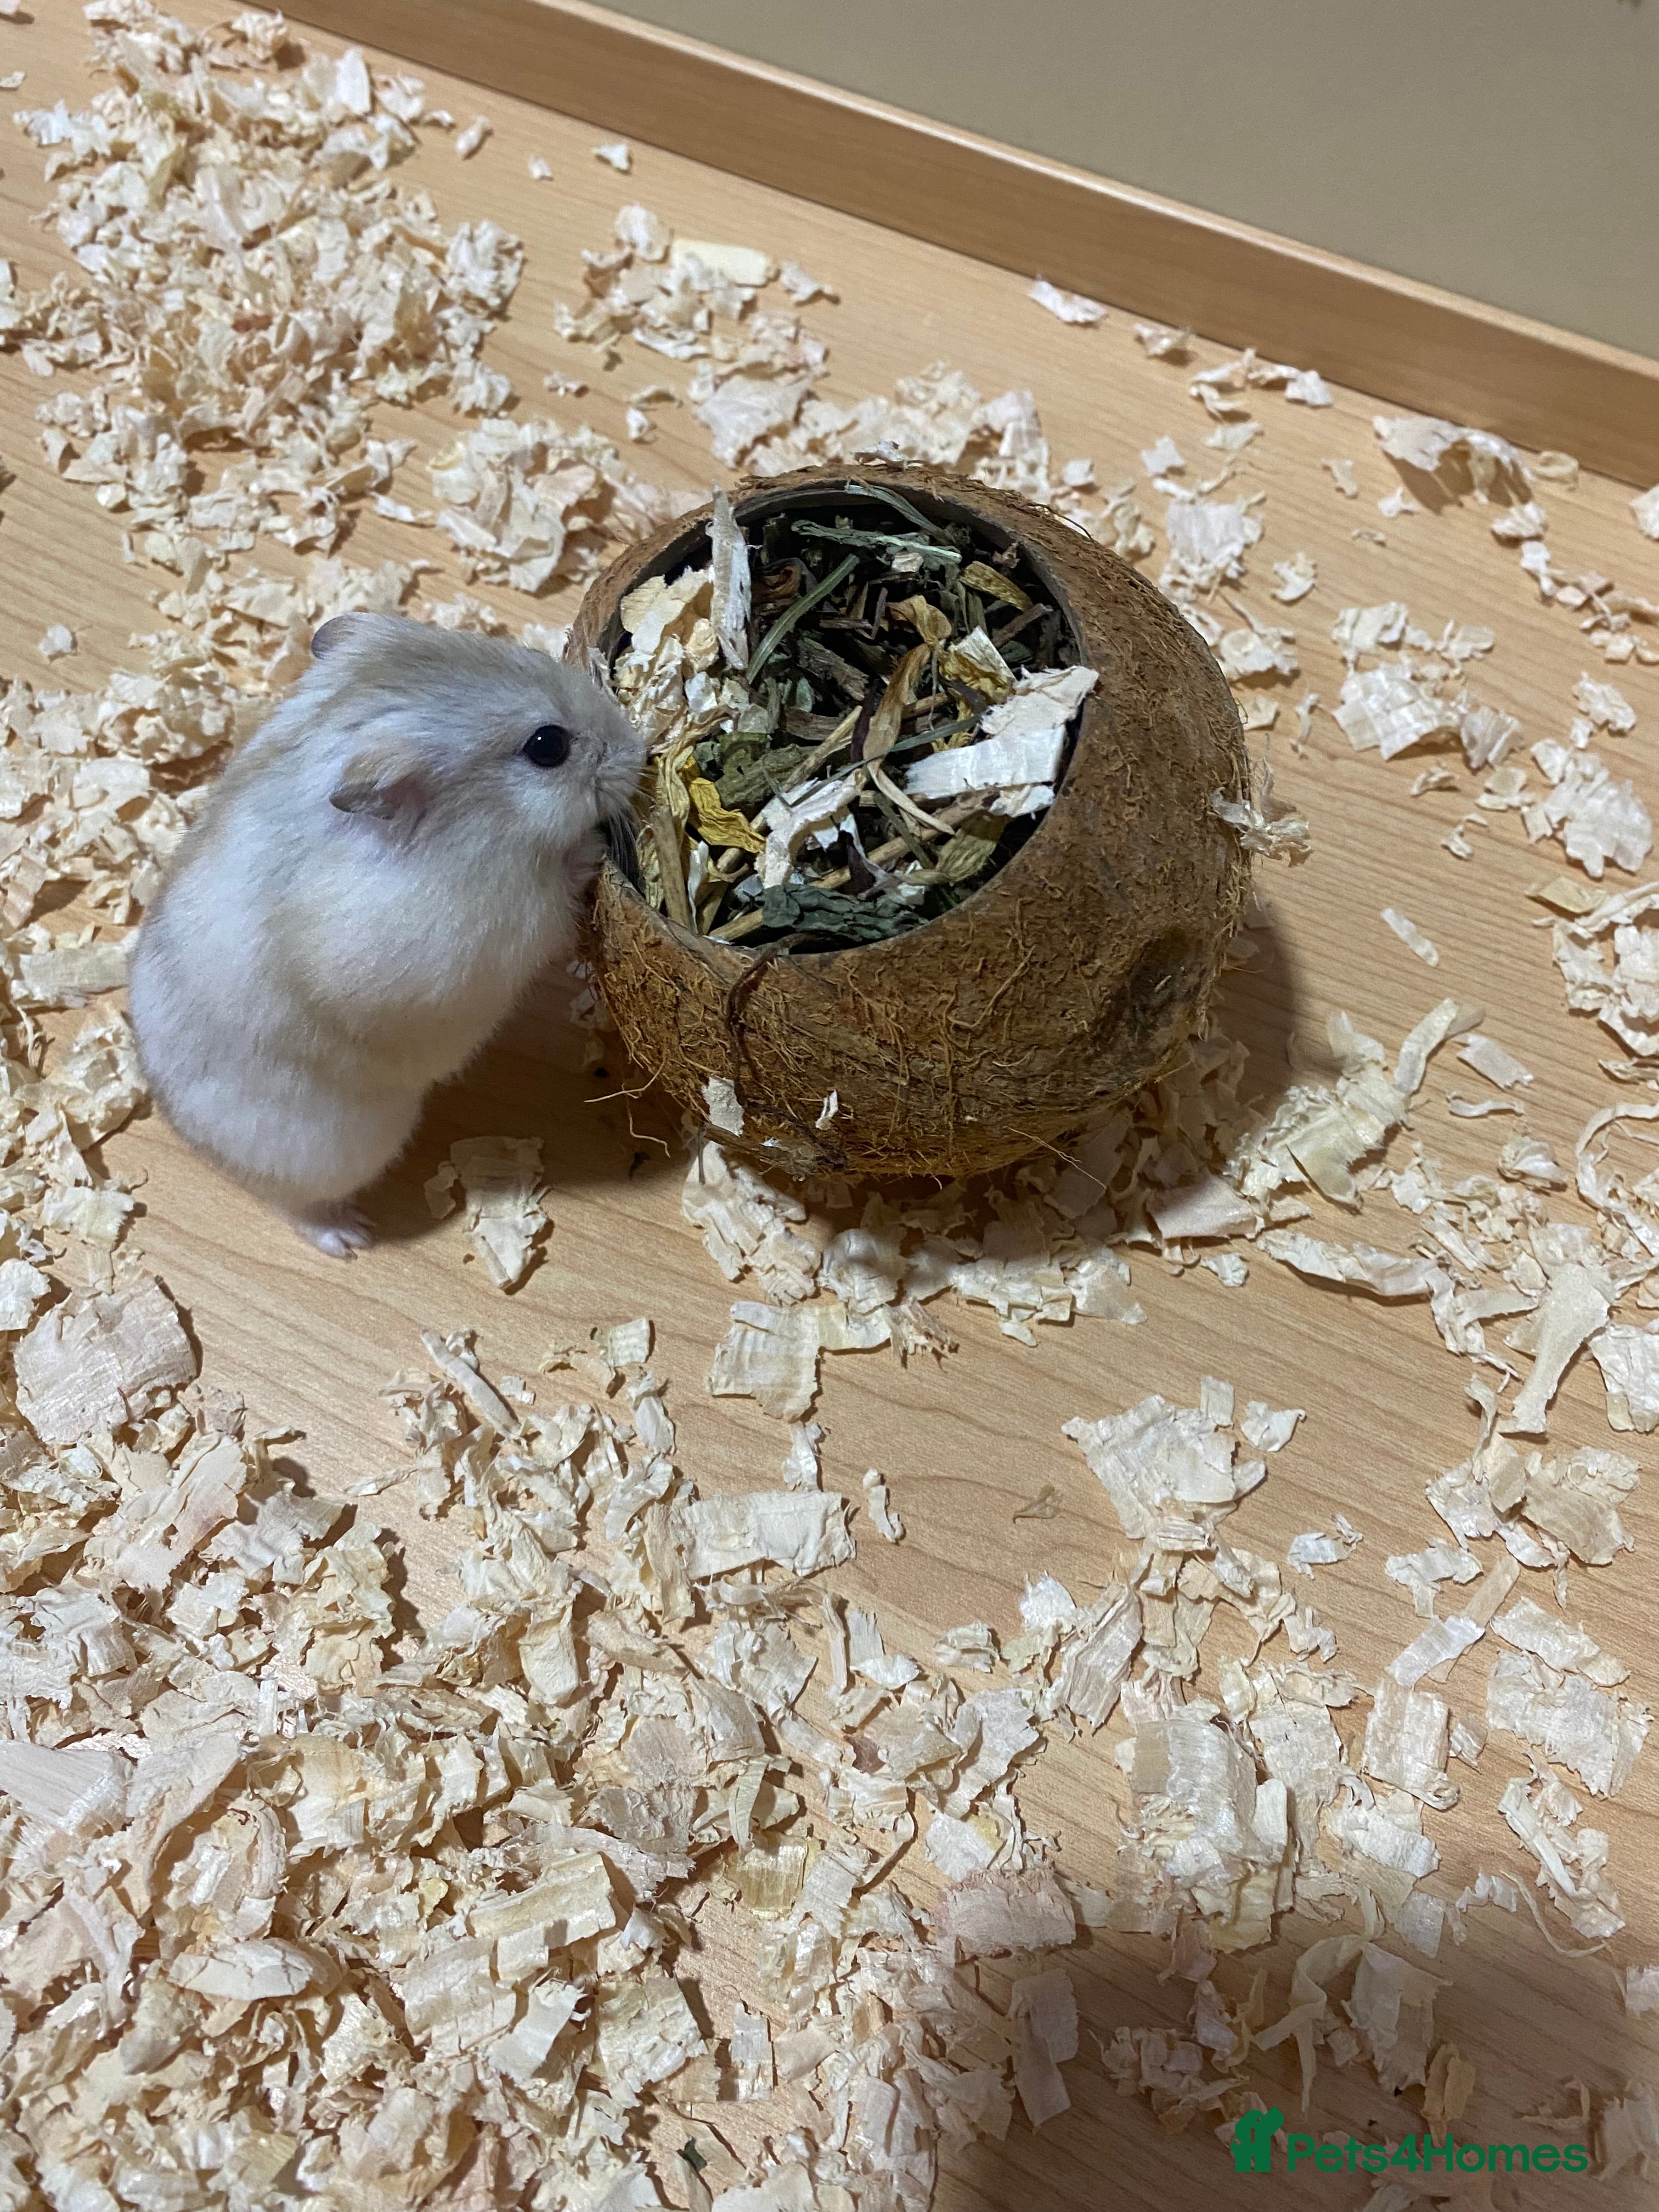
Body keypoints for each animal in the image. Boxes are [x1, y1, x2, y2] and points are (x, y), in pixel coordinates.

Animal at [128, 613, 645, 1255]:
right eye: (548, 746)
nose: (640, 749)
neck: (480, 831)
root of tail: (188, 1139)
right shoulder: (486, 941)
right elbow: (553, 896)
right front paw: (590, 851)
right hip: (329, 1155)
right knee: (288, 1204)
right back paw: (350, 1237)